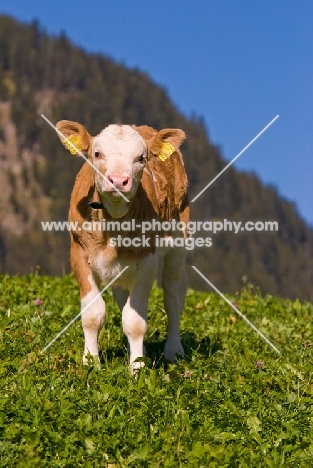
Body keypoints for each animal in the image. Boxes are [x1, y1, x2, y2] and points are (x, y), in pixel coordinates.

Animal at [55, 120, 189, 370]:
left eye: (141, 158)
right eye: (97, 154)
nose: (118, 181)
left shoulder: (147, 258)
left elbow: (135, 320)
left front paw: (137, 368)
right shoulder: (78, 251)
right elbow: (93, 313)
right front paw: (90, 363)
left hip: (179, 238)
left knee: (174, 293)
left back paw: (173, 350)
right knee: (121, 295)